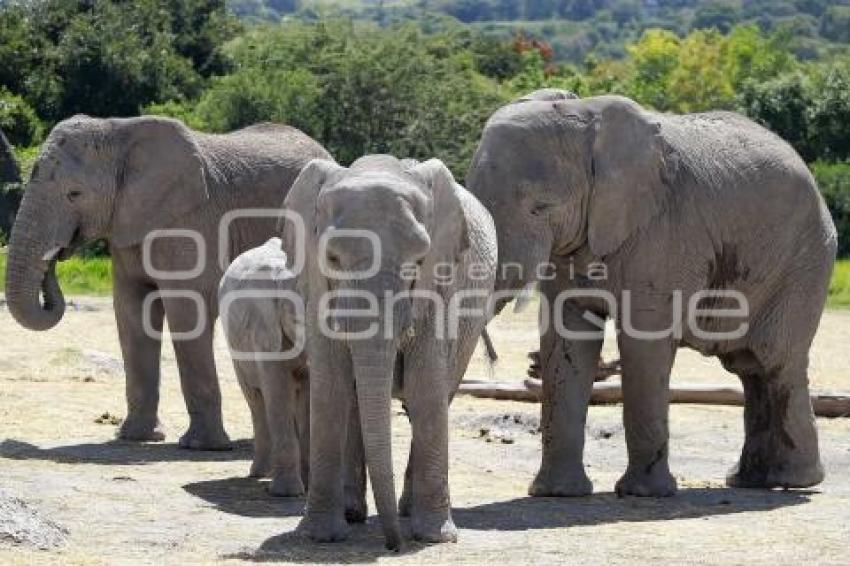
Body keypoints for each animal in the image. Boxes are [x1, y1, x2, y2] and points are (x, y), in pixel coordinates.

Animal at [5, 117, 332, 450]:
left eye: (74, 194)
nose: (58, 254)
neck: (118, 132)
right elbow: (130, 312)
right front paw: (134, 437)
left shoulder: (192, 223)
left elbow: (186, 311)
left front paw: (202, 446)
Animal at [220, 239, 310, 496]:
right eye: (299, 321)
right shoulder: (265, 331)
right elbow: (277, 389)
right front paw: (287, 493)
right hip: (236, 352)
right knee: (255, 399)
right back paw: (260, 473)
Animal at [284, 155, 496, 552]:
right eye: (333, 258)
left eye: (418, 261)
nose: (392, 545)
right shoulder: (317, 288)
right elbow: (331, 387)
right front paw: (319, 537)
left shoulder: (439, 288)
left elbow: (425, 388)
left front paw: (435, 537)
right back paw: (353, 513)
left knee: (438, 395)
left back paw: (406, 512)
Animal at [468, 93, 840, 502]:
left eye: (540, 208)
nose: (492, 359)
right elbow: (567, 340)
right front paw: (556, 494)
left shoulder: (662, 231)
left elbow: (643, 344)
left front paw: (643, 494)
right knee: (749, 367)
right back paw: (751, 480)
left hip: (805, 261)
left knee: (776, 360)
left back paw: (794, 482)